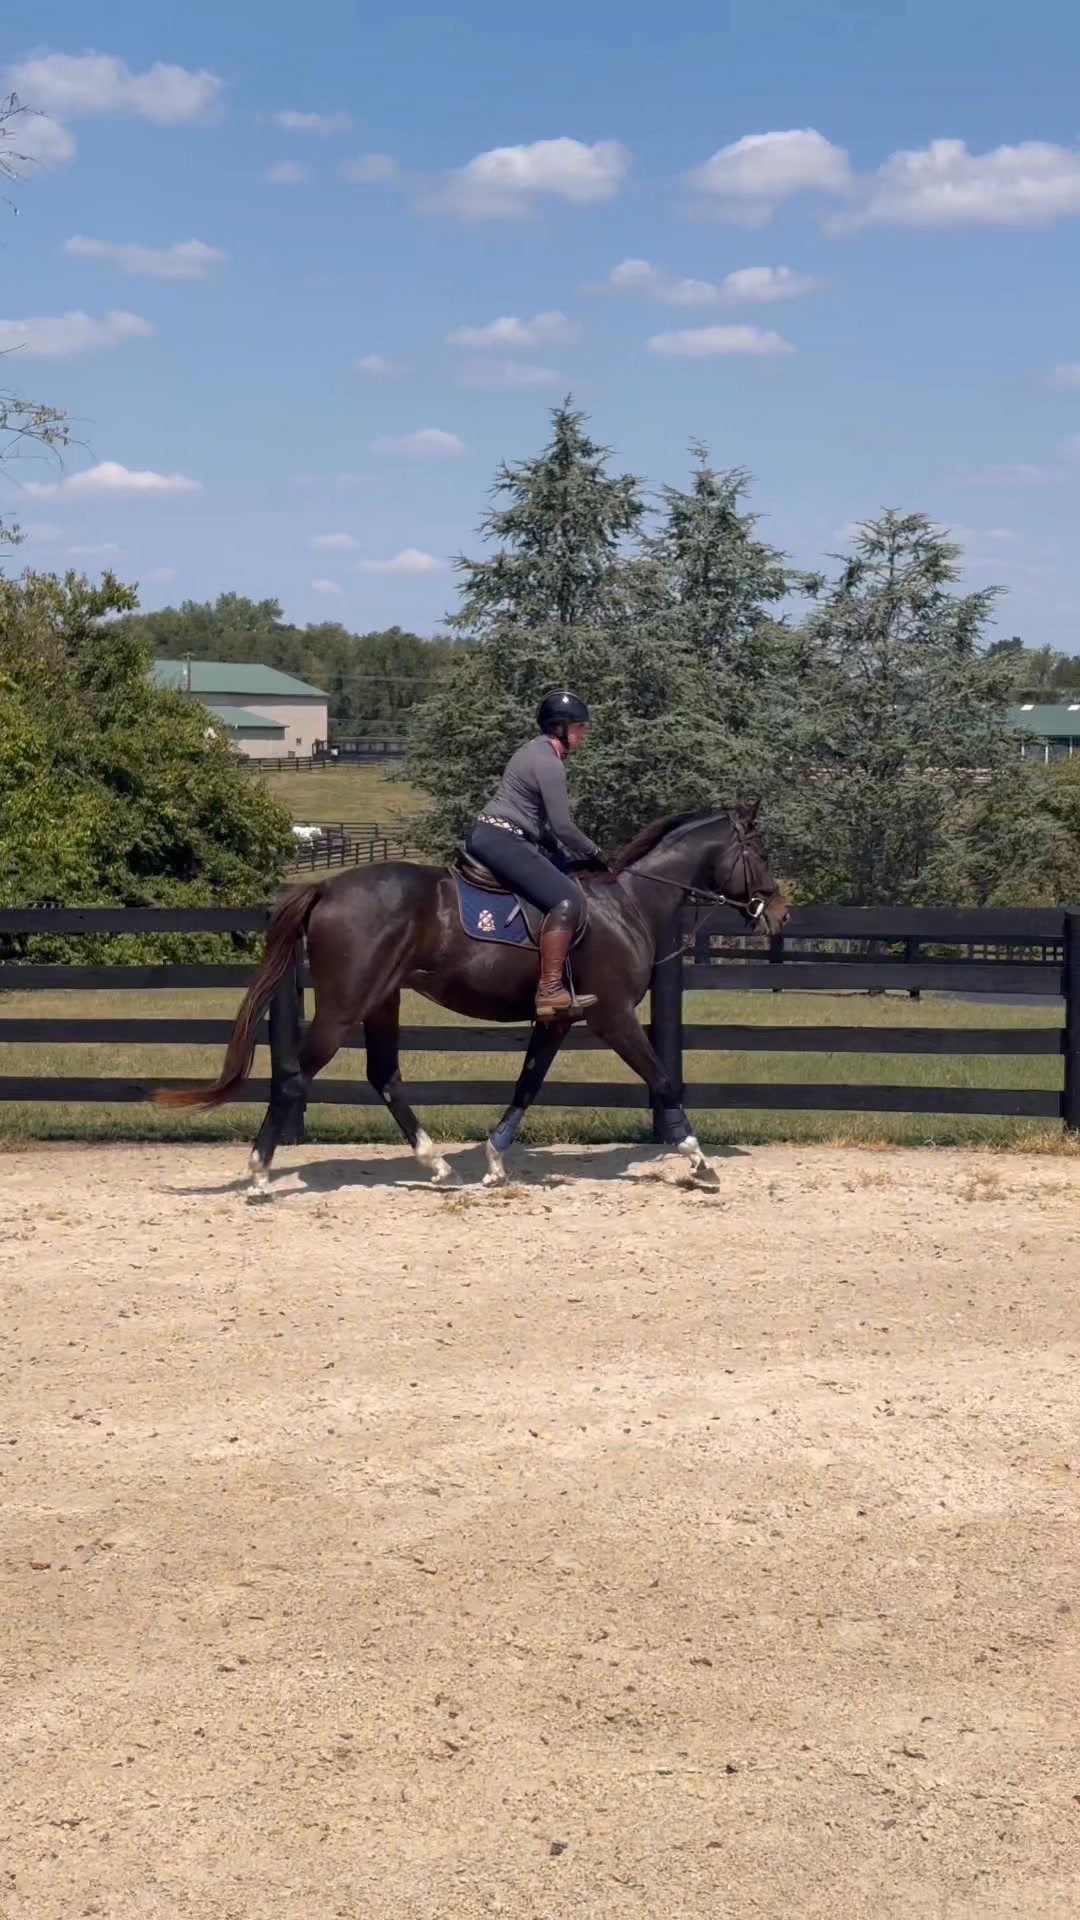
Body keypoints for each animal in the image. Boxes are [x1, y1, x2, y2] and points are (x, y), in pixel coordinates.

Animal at [155, 807, 789, 1192]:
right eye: (758, 850)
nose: (780, 912)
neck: (626, 903)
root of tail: (328, 886)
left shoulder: (558, 1021)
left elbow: (528, 1084)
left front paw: (494, 1161)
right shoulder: (612, 1016)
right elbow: (662, 1079)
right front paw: (698, 1159)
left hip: (382, 1001)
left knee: (384, 1075)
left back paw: (435, 1163)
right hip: (342, 1007)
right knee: (293, 1076)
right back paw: (260, 1174)